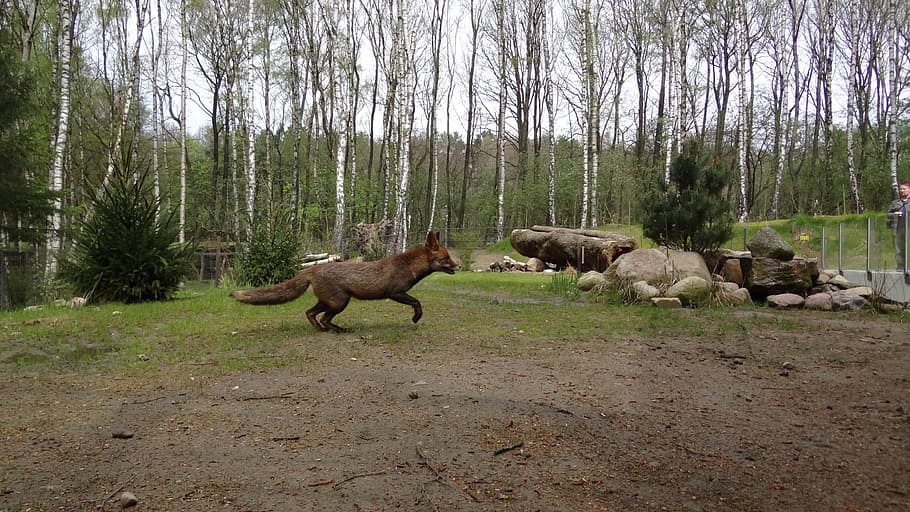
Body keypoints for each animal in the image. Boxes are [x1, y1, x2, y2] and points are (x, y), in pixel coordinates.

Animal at [229, 231, 459, 332]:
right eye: (446, 258)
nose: (458, 266)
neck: (408, 266)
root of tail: (313, 267)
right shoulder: (395, 293)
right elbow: (417, 303)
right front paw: (416, 318)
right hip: (340, 302)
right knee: (323, 318)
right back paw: (337, 330)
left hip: (329, 302)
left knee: (310, 314)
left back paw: (324, 329)